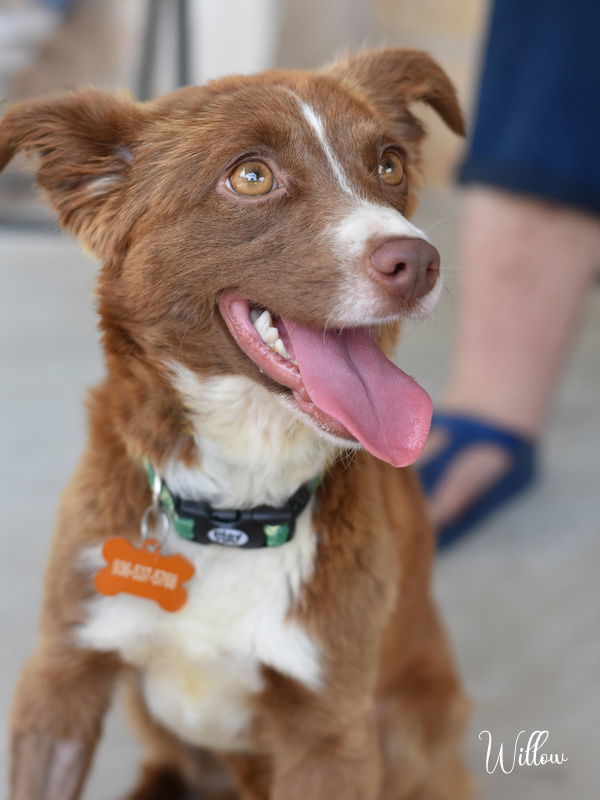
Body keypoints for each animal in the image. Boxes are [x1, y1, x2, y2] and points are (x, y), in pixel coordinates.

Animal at [0, 50, 472, 800]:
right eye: (251, 176)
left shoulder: (330, 730)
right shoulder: (60, 673)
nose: (419, 263)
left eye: (389, 164)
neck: (234, 509)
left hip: (411, 725)